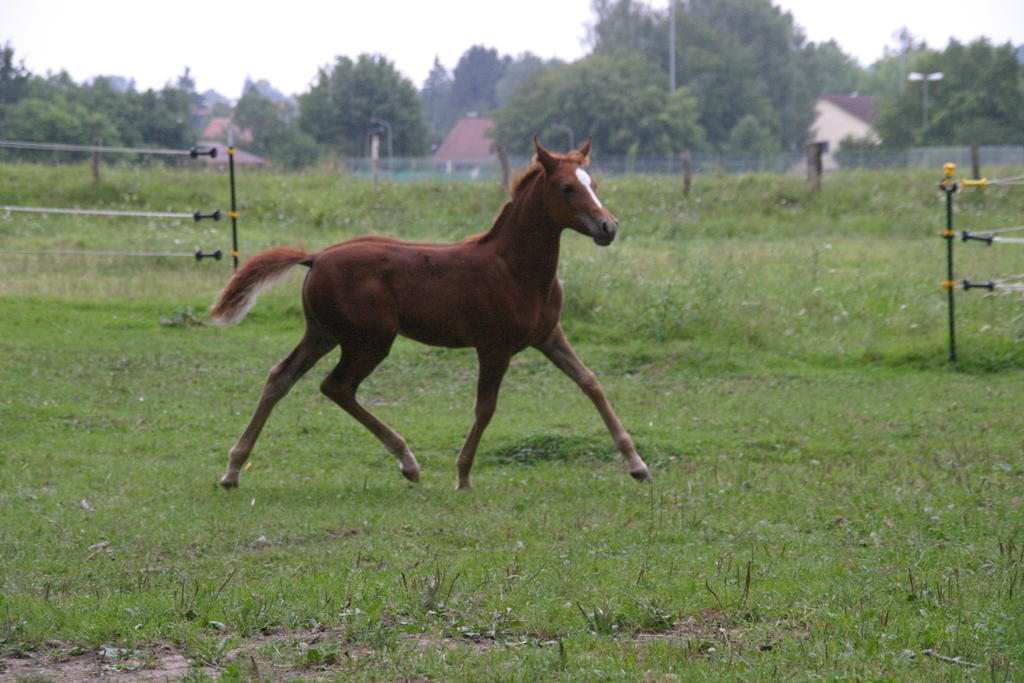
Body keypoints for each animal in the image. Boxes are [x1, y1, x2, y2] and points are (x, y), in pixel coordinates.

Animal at [211, 139, 651, 489]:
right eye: (566, 187)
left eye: (594, 184)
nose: (608, 227)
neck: (514, 268)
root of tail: (316, 257)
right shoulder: (494, 348)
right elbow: (485, 408)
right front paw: (463, 476)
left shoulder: (549, 336)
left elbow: (591, 383)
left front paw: (638, 466)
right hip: (369, 341)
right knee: (336, 386)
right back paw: (408, 462)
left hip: (323, 333)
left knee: (281, 377)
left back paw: (233, 470)